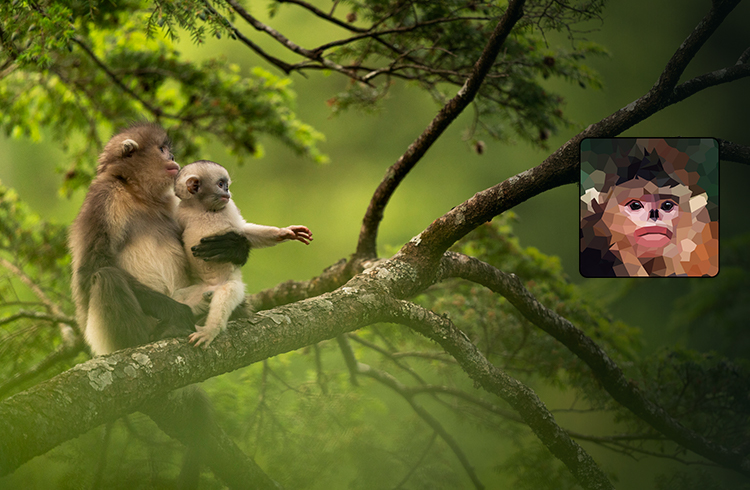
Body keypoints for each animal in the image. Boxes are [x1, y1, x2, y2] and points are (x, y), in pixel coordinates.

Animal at [69, 123, 251, 356]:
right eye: (162, 149)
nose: (172, 156)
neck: (138, 195)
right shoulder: (104, 197)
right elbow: (94, 265)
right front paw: (178, 312)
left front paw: (234, 247)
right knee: (107, 277)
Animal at [172, 160, 312, 347]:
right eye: (221, 184)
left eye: (226, 185)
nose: (228, 192)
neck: (203, 210)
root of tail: (209, 289)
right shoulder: (179, 214)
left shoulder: (229, 209)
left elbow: (245, 231)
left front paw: (286, 232)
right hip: (193, 295)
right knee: (177, 300)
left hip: (230, 286)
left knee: (224, 297)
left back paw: (210, 330)